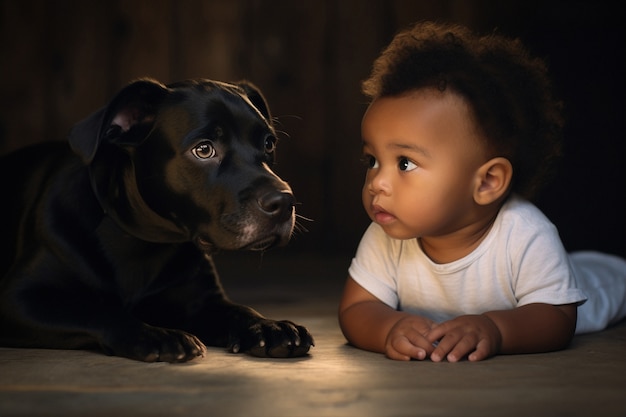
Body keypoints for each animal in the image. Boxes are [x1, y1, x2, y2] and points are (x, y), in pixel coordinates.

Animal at [0, 77, 312, 360]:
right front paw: (157, 335)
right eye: (204, 149)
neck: (143, 241)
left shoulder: (204, 303)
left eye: (269, 144)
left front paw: (268, 326)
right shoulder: (19, 299)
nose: (284, 201)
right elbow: (97, 311)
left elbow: (239, 310)